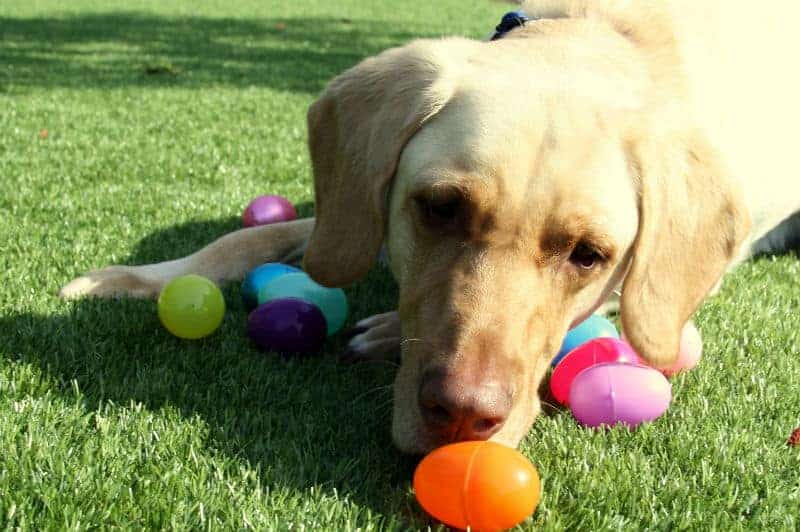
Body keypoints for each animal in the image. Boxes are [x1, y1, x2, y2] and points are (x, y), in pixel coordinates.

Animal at [61, 2, 800, 456]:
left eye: (589, 255)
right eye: (440, 206)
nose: (464, 416)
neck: (600, 30)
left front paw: (388, 329)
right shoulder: (363, 211)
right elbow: (252, 237)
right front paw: (132, 278)